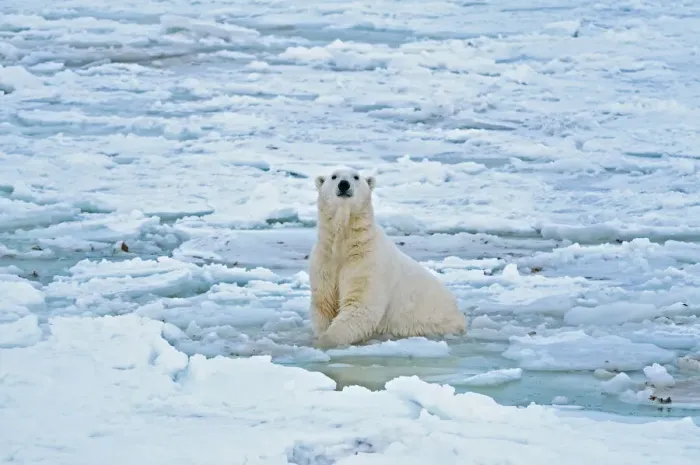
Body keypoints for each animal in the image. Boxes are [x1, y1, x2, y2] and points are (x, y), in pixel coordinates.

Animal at [308, 167, 467, 348]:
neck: (346, 245)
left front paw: (325, 340)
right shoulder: (325, 260)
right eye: (334, 176)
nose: (344, 184)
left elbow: (361, 305)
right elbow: (324, 302)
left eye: (356, 176)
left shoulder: (368, 263)